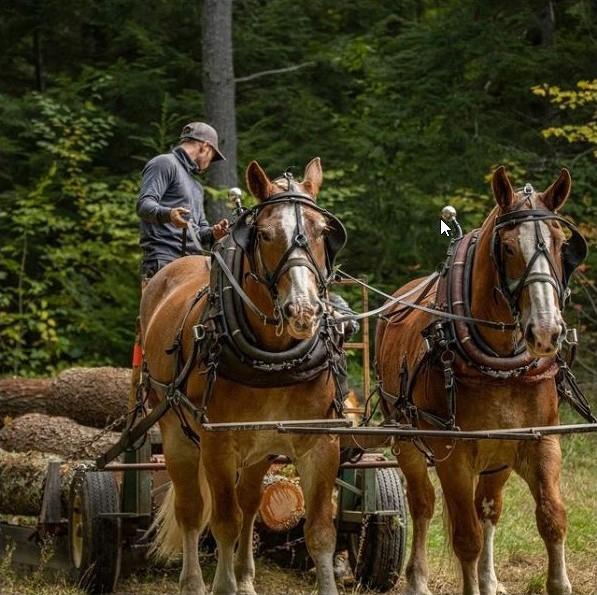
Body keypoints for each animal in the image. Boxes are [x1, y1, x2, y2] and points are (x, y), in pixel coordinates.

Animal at [139, 158, 346, 595]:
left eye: (323, 232)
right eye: (265, 234)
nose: (303, 310)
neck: (275, 360)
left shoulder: (321, 443)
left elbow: (319, 530)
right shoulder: (218, 444)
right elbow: (224, 522)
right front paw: (223, 585)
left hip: (260, 447)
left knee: (251, 504)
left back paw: (246, 577)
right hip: (176, 431)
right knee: (191, 509)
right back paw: (193, 582)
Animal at [378, 168, 588, 595]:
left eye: (562, 244)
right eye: (507, 247)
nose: (546, 332)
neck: (501, 364)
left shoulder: (539, 442)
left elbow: (552, 518)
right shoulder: (453, 456)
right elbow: (466, 538)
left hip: (498, 457)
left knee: (488, 508)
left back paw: (489, 579)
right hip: (406, 439)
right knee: (423, 504)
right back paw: (417, 579)